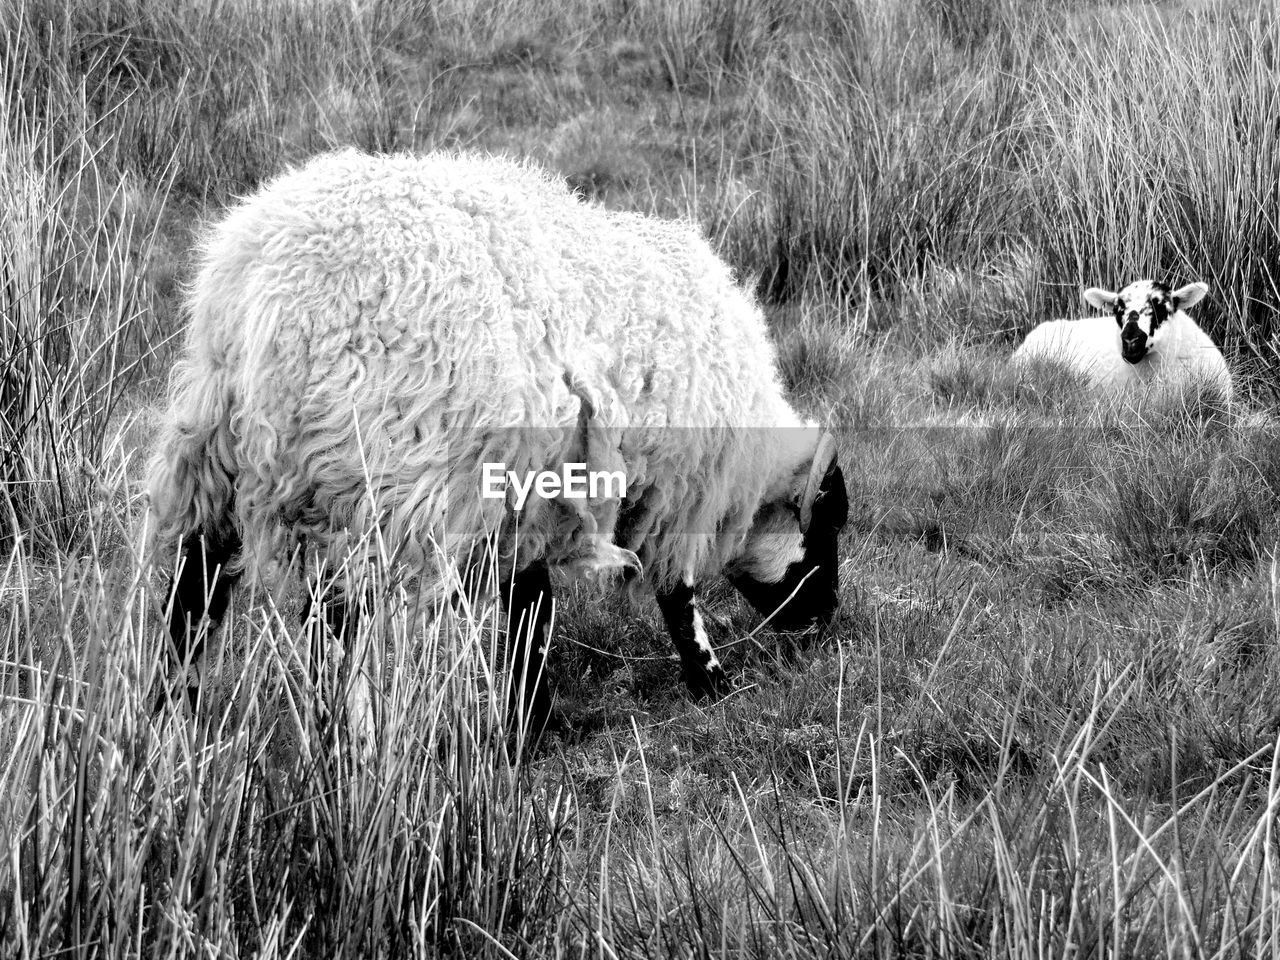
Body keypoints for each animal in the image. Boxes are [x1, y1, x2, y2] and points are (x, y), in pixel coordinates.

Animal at [147, 146, 849, 727]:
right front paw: (708, 679)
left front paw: (532, 719)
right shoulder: (671, 490)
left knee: (194, 587)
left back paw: (170, 720)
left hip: (215, 448)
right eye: (828, 527)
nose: (825, 622)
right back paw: (347, 744)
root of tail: (267, 283)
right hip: (378, 477)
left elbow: (528, 606)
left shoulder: (529, 496)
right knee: (340, 621)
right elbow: (670, 594)